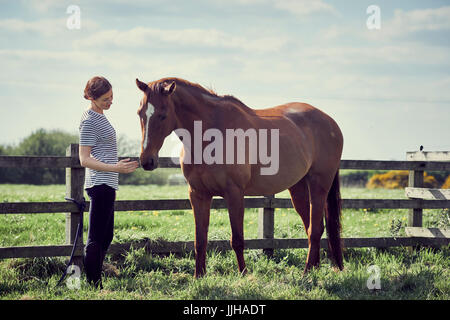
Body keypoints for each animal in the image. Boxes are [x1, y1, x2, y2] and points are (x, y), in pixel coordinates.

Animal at [135, 77, 342, 278]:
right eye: (140, 113)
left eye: (163, 115)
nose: (147, 161)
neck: (211, 135)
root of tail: (330, 122)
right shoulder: (198, 194)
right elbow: (200, 240)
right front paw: (198, 276)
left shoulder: (234, 193)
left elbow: (237, 239)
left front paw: (243, 274)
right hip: (298, 189)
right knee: (312, 227)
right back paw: (313, 270)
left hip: (319, 185)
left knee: (315, 230)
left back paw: (306, 273)